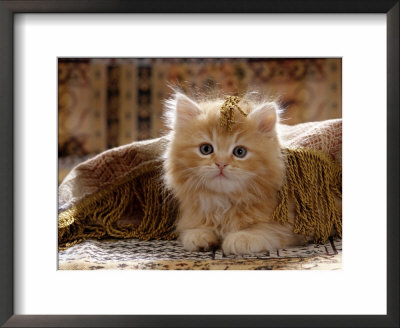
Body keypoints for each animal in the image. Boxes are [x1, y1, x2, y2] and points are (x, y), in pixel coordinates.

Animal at [162, 92, 306, 256]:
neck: (223, 203)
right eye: (206, 149)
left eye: (240, 152)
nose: (221, 164)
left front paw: (240, 238)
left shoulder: (288, 224)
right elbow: (192, 229)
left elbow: (266, 230)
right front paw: (199, 235)